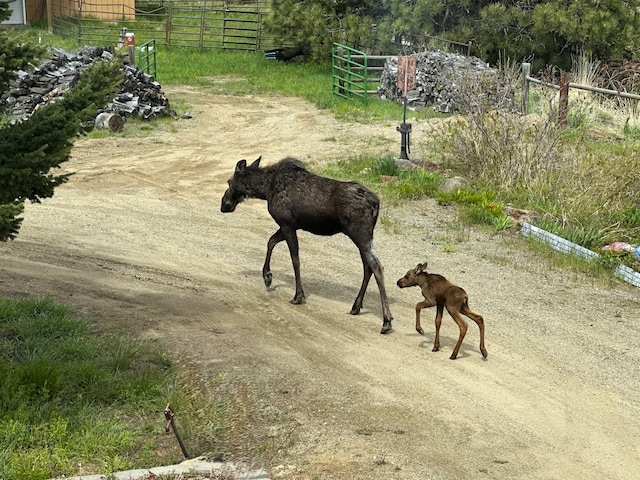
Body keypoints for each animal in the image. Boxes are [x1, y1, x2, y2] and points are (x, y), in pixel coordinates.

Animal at [221, 157, 396, 334]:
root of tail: (376, 203)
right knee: (368, 267)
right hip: (363, 237)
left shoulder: (287, 224)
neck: (264, 190)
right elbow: (271, 241)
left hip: (360, 234)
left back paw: (386, 321)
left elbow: (294, 259)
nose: (224, 205)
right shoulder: (289, 225)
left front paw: (297, 296)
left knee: (376, 266)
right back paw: (356, 306)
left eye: (229, 181)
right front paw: (267, 277)